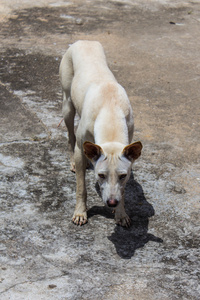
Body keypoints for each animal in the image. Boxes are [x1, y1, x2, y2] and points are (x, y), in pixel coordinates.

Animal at [59, 40, 142, 227]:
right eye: (101, 175)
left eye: (123, 176)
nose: (111, 203)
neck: (110, 109)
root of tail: (84, 41)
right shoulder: (80, 150)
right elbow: (81, 188)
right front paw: (80, 213)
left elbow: (123, 191)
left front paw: (120, 213)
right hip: (67, 104)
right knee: (70, 135)